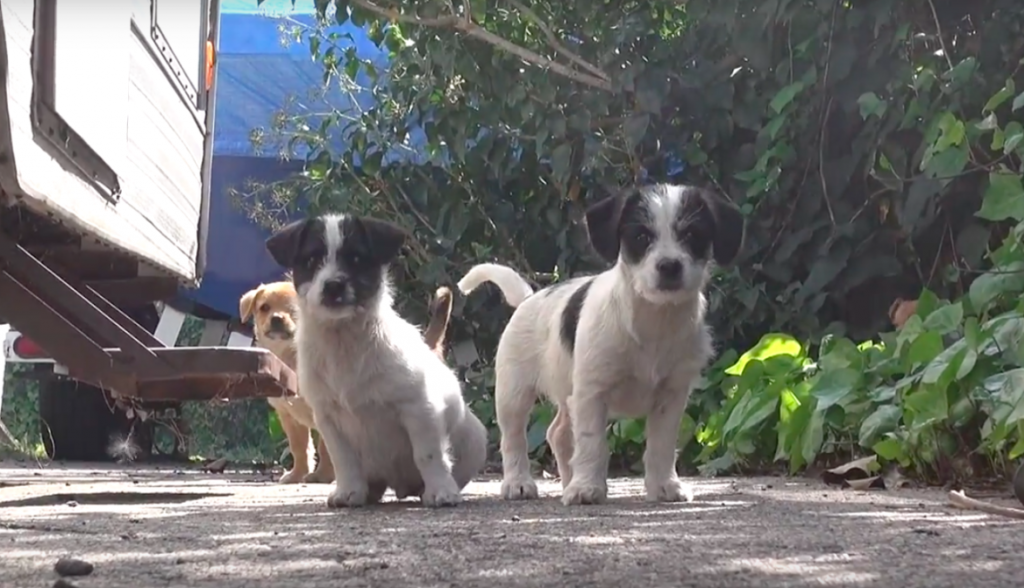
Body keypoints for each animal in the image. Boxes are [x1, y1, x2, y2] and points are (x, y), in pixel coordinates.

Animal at [240, 282, 456, 485]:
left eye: (293, 309)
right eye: (264, 307)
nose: (276, 318)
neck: (290, 357)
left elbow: (325, 449)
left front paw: (323, 476)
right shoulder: (289, 417)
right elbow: (300, 447)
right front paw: (297, 474)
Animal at [264, 214, 487, 510]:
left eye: (357, 259)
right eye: (311, 260)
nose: (333, 285)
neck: (344, 341)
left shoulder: (419, 409)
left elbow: (428, 454)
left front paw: (440, 490)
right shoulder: (328, 420)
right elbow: (343, 460)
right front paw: (349, 491)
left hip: (475, 440)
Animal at [460, 183, 741, 508]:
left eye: (693, 235)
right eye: (641, 237)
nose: (669, 266)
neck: (654, 321)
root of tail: (529, 298)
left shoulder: (671, 397)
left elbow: (661, 445)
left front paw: (664, 485)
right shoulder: (592, 394)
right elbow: (593, 443)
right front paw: (587, 488)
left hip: (567, 393)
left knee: (558, 434)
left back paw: (567, 480)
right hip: (514, 394)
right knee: (514, 437)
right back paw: (518, 483)